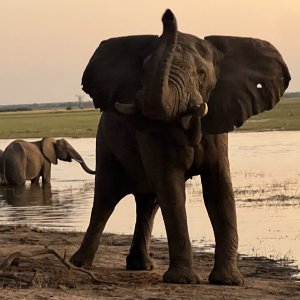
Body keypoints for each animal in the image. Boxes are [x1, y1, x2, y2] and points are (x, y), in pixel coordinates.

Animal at [70, 9, 290, 286]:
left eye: (201, 74)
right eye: (144, 69)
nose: (167, 14)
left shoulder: (217, 122)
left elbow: (220, 189)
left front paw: (228, 281)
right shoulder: (151, 133)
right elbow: (172, 189)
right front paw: (183, 280)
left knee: (147, 204)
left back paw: (140, 266)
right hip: (105, 144)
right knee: (106, 199)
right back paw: (79, 264)